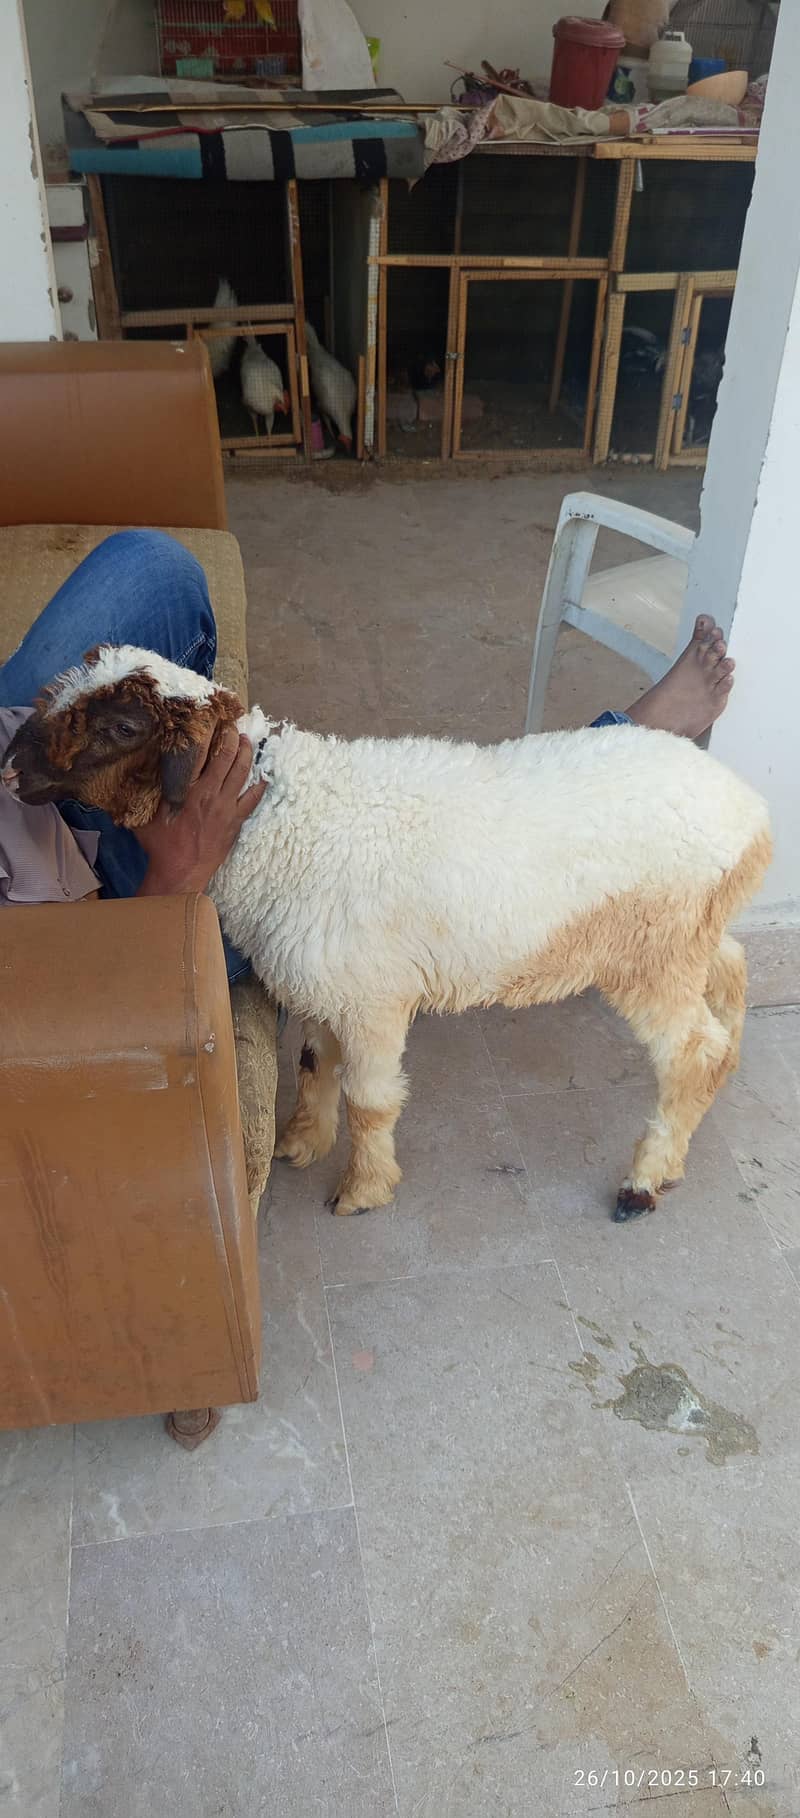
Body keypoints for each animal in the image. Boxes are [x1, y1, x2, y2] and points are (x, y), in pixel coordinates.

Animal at [3, 644, 772, 1222]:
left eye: (121, 729)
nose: (13, 759)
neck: (281, 817)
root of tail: (751, 815)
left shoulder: (372, 996)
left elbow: (369, 1101)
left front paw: (362, 1190)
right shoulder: (322, 981)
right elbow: (315, 1065)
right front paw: (300, 1144)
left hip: (652, 950)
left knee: (693, 1050)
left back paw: (646, 1179)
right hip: (688, 934)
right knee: (731, 968)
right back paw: (730, 1060)